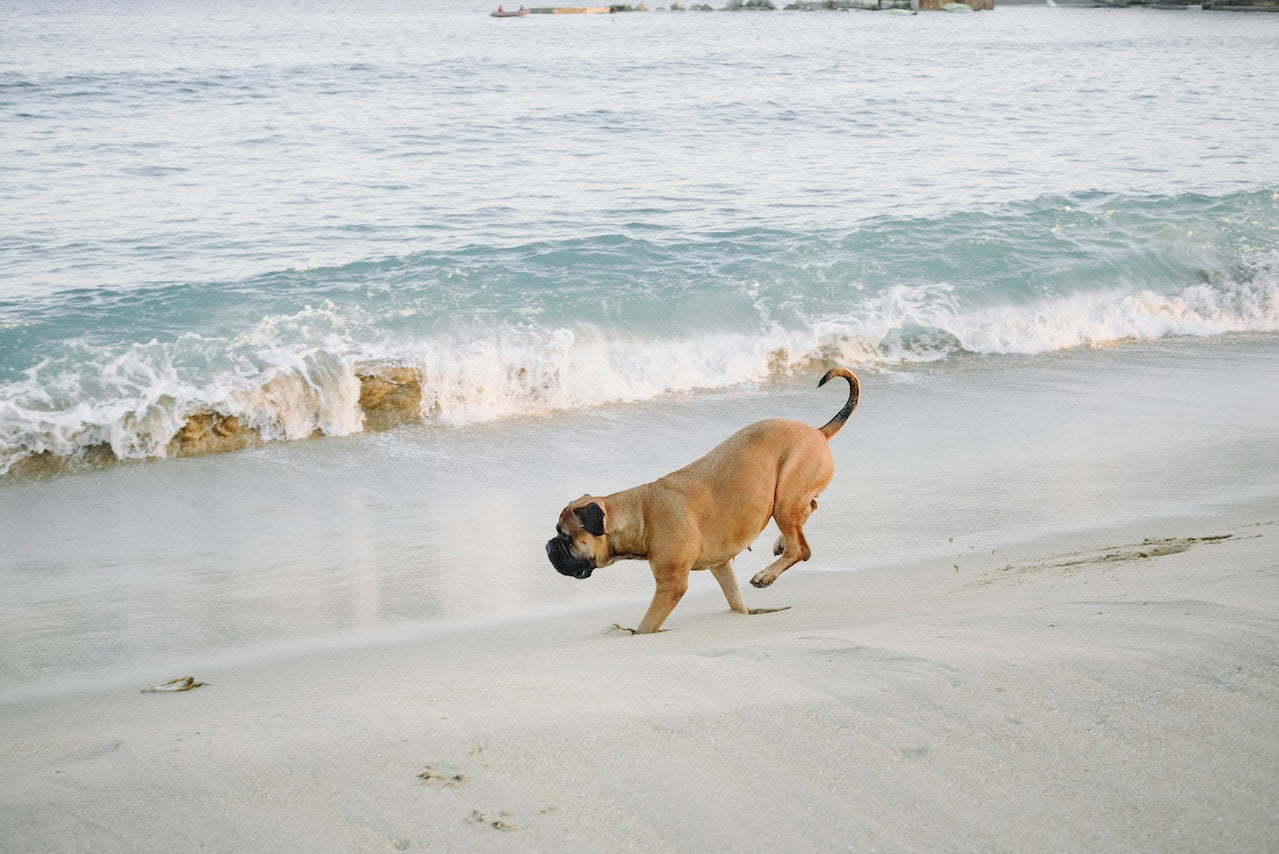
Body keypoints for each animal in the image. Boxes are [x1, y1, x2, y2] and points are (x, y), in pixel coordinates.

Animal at [547, 368, 859, 634]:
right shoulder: (721, 566)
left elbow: (647, 626)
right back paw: (781, 542)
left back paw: (767, 574)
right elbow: (735, 599)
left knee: (801, 548)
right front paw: (745, 614)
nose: (548, 547)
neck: (639, 513)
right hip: (788, 497)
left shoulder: (670, 585)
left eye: (565, 536)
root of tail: (819, 432)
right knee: (810, 509)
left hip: (785, 497)